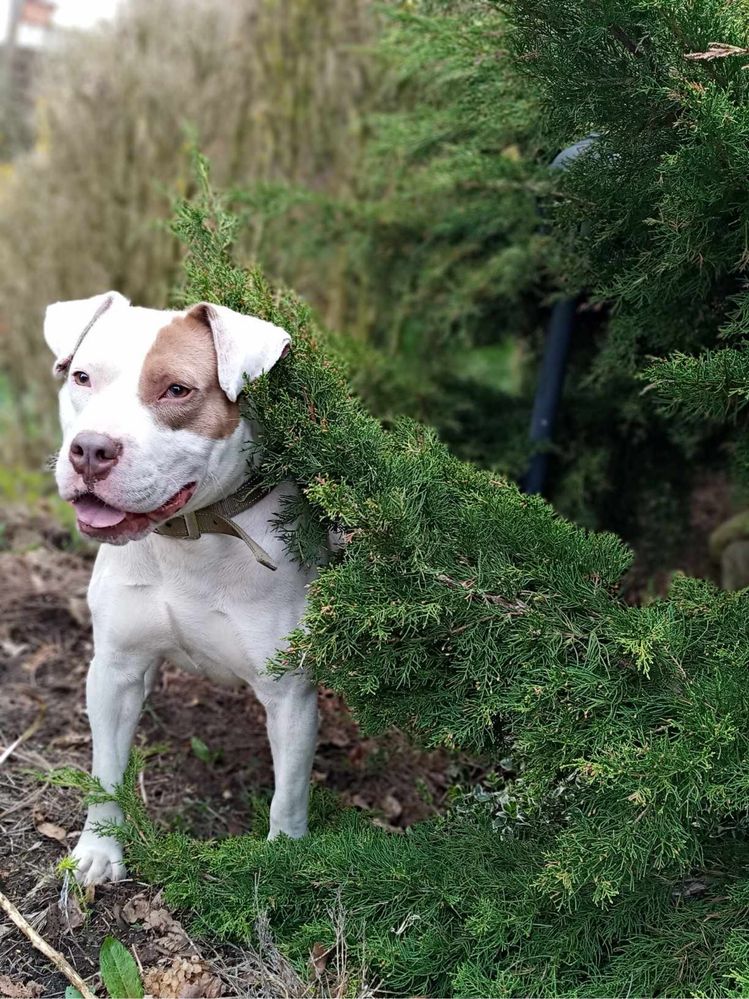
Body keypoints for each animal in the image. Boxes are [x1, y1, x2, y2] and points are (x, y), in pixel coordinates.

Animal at [43, 292, 318, 888]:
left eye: (176, 391)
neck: (190, 539)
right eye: (82, 377)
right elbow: (105, 772)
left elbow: (287, 798)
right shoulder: (115, 670)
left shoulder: (289, 697)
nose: (90, 450)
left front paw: (283, 865)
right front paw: (97, 850)